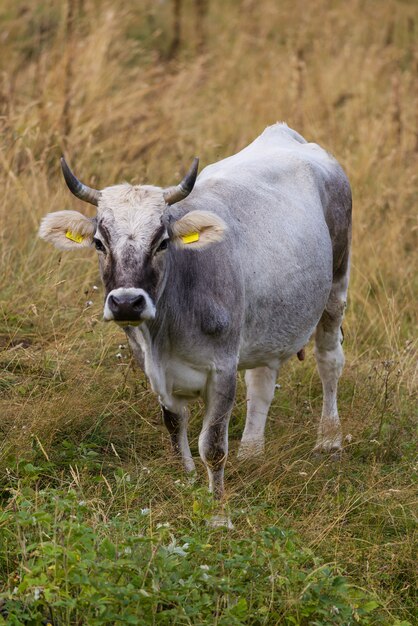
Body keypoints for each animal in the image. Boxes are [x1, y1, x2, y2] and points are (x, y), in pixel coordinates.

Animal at [40, 122, 352, 508]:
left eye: (162, 242)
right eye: (99, 242)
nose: (127, 303)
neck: (165, 335)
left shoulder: (222, 369)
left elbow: (213, 445)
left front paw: (217, 503)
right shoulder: (154, 369)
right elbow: (176, 429)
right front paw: (187, 483)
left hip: (337, 283)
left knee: (329, 360)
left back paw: (329, 440)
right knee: (262, 380)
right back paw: (252, 451)